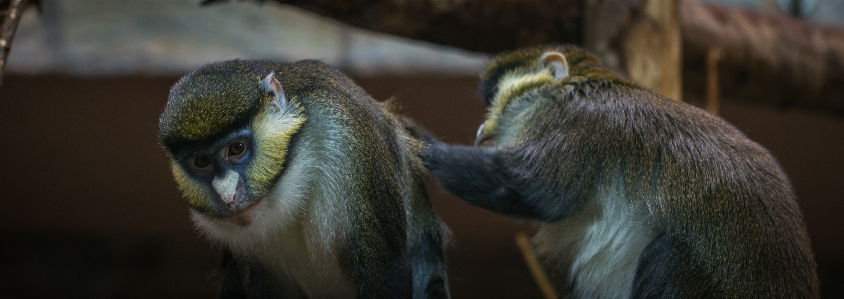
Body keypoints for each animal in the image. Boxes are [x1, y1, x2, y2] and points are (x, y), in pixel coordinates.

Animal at [422, 45, 816, 298]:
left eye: (493, 100)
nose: (480, 129)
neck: (575, 84)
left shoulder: (573, 119)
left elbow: (533, 191)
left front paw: (425, 145)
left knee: (669, 255)